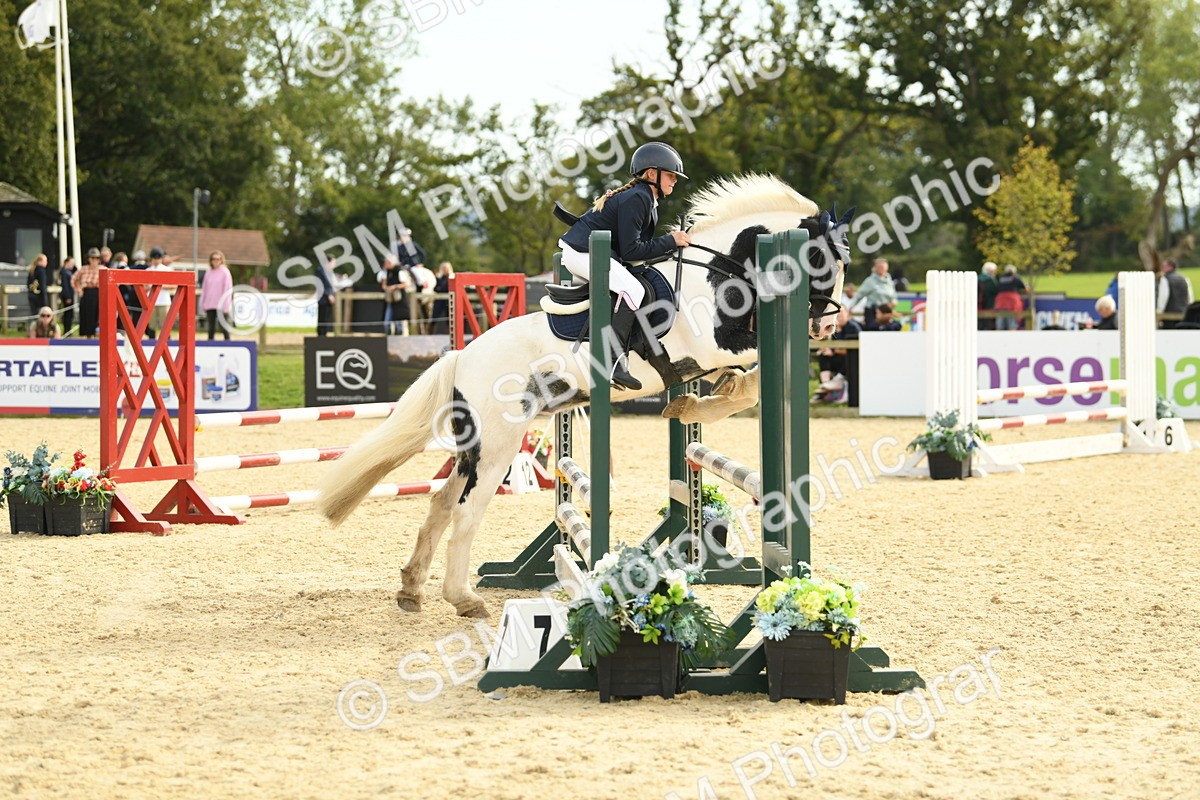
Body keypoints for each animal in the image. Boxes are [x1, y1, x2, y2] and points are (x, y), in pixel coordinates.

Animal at [317, 173, 852, 617]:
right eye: (825, 258)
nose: (828, 326)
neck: (717, 274)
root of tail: (462, 358)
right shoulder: (714, 346)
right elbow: (753, 377)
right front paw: (706, 401)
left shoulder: (711, 355)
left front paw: (691, 404)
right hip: (498, 446)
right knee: (467, 510)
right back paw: (464, 599)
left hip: (475, 449)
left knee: (442, 503)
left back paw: (411, 589)